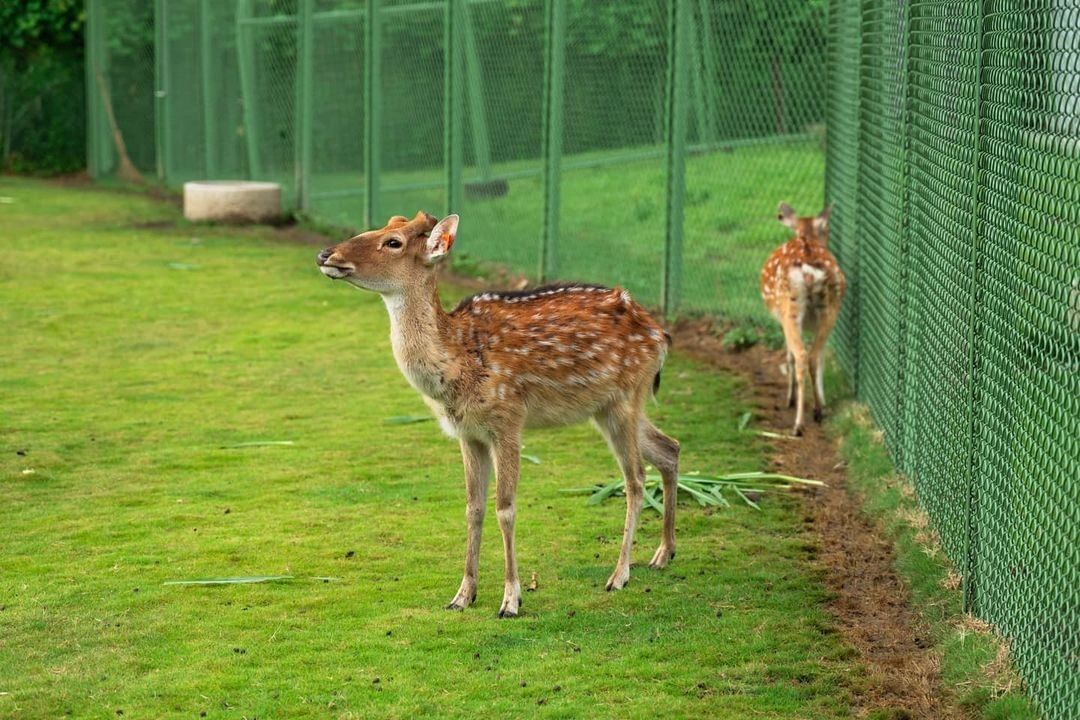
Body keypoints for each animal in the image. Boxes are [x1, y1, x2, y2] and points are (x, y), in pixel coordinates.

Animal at [315, 211, 678, 617]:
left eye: (393, 241)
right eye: (383, 225)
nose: (325, 254)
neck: (458, 365)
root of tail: (660, 335)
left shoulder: (509, 421)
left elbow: (505, 507)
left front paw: (511, 600)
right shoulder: (467, 433)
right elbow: (473, 509)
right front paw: (462, 595)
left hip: (626, 397)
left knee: (635, 478)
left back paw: (619, 575)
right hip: (608, 406)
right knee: (669, 448)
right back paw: (663, 554)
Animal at [760, 204, 842, 440]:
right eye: (828, 230)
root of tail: (808, 270)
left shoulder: (780, 319)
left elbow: (788, 354)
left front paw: (790, 398)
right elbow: (821, 357)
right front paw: (821, 400)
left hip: (789, 308)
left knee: (801, 355)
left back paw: (798, 424)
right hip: (830, 308)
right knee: (813, 356)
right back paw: (818, 410)